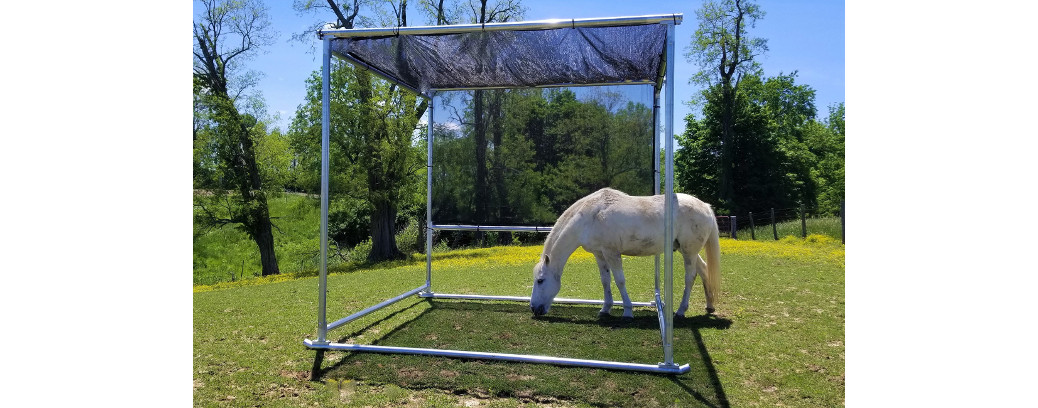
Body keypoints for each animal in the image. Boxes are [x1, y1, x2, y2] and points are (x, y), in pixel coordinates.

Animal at [527, 186, 722, 317]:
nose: (534, 308)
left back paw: (681, 310)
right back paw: (709, 306)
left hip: (689, 252)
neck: (590, 217)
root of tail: (704, 206)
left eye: (540, 280)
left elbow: (620, 280)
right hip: (687, 250)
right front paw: (605, 308)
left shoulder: (612, 252)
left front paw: (627, 311)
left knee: (691, 277)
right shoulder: (600, 254)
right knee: (703, 270)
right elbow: (605, 281)